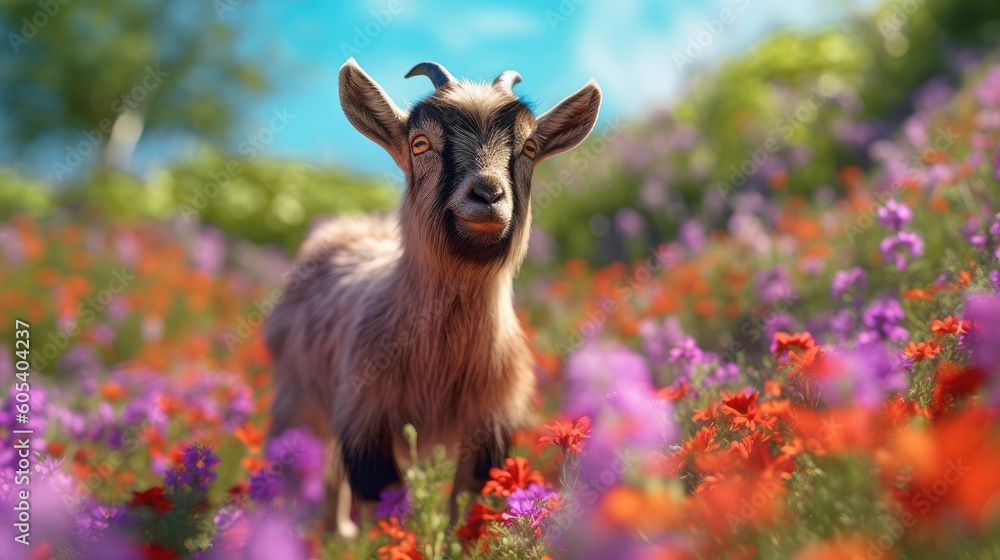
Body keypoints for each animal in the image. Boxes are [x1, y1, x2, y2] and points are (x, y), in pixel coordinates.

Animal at [265, 58, 601, 534]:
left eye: (530, 147)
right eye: (420, 143)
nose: (488, 194)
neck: (439, 359)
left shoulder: (489, 427)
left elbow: (468, 510)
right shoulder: (365, 422)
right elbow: (387, 513)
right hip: (297, 398)